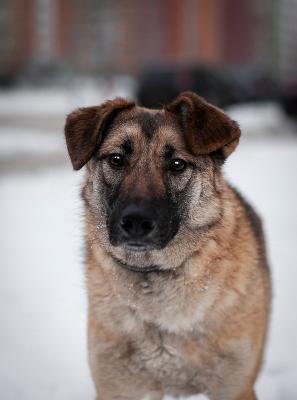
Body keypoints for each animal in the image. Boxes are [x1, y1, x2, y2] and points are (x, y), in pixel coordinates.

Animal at [63, 91, 270, 400]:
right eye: (116, 159)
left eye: (177, 164)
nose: (136, 222)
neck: (155, 274)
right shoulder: (118, 389)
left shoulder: (235, 388)